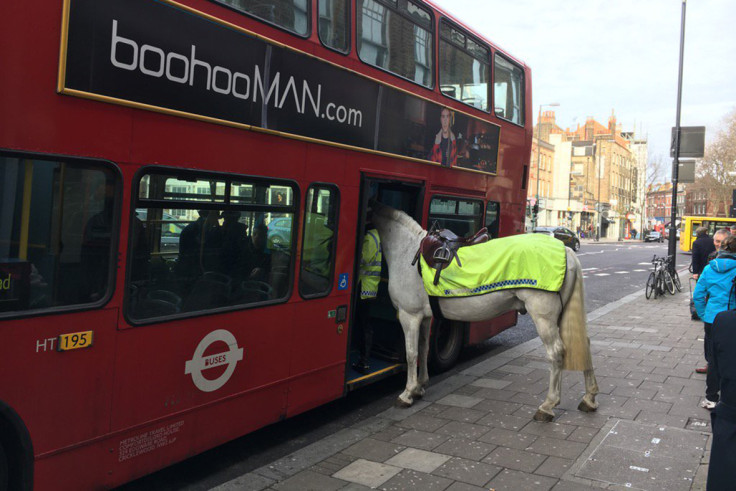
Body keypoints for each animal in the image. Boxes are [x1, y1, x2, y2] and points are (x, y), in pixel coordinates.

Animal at [370, 202, 600, 420]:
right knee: (584, 344)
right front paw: (420, 386)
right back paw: (589, 398)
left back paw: (548, 406)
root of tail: (567, 251)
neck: (407, 249)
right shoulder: (425, 317)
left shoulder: (409, 315)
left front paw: (407, 393)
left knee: (556, 352)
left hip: (544, 317)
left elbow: (411, 354)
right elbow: (423, 348)